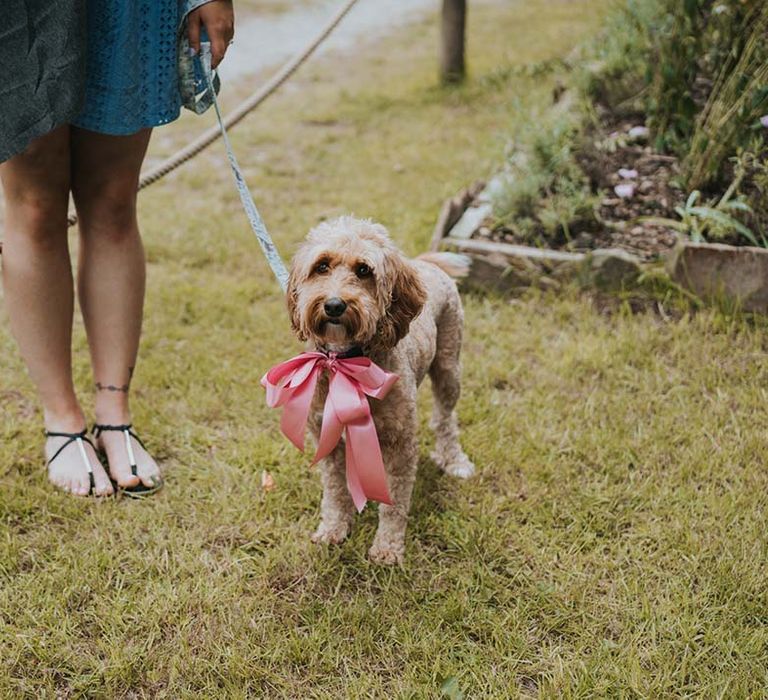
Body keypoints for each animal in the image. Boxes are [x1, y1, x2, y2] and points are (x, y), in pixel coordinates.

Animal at [284, 215, 472, 564]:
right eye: (322, 266)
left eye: (363, 270)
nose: (334, 305)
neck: (346, 361)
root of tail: (424, 263)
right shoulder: (327, 439)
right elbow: (335, 490)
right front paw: (333, 529)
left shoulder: (400, 445)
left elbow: (394, 502)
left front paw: (387, 548)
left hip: (449, 368)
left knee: (445, 418)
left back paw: (454, 460)